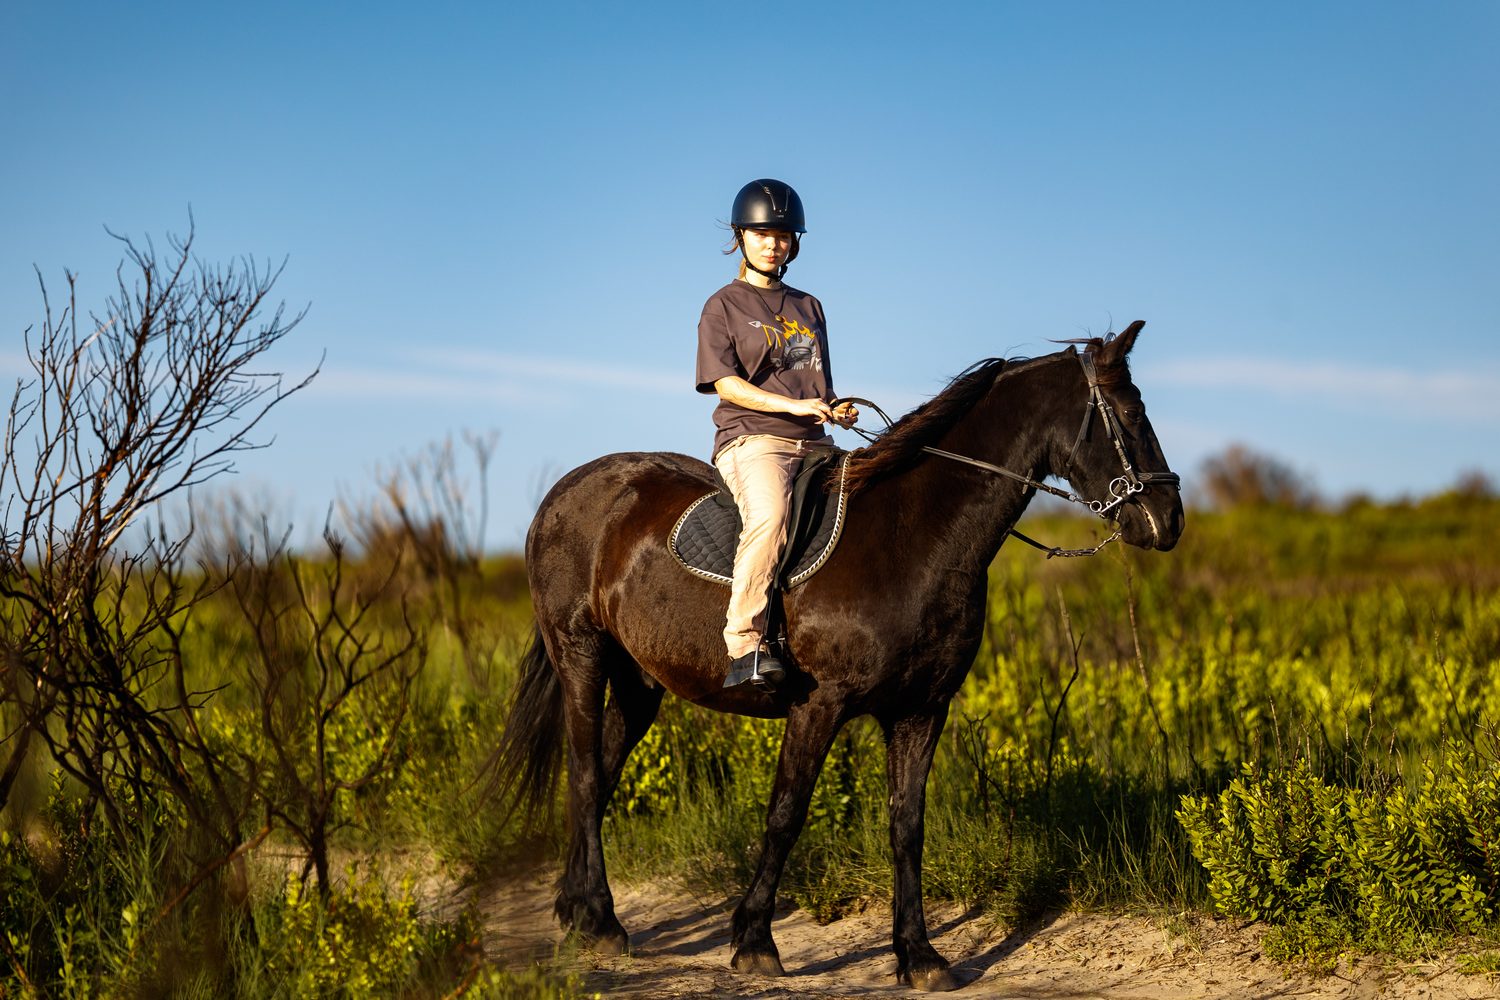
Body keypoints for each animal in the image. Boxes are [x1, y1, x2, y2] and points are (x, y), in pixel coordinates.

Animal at [496, 321, 1183, 991]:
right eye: (1129, 412)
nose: (1168, 520)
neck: (913, 534)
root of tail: (567, 491)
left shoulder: (920, 710)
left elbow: (906, 826)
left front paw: (920, 956)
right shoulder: (818, 705)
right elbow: (786, 813)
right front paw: (754, 941)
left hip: (639, 680)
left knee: (598, 773)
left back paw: (577, 912)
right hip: (581, 655)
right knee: (588, 773)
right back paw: (604, 923)